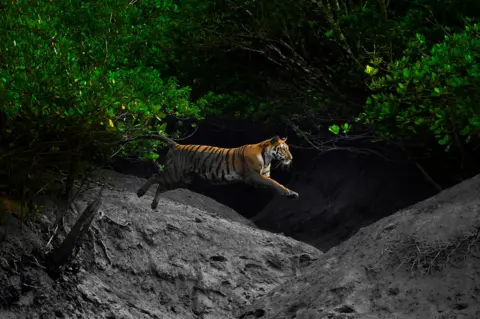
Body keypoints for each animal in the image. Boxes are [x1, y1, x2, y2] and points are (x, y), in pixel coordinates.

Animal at [122, 134, 298, 210]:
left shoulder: (261, 177)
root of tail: (177, 145)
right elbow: (275, 183)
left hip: (182, 179)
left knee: (161, 185)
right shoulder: (254, 176)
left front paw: (290, 193)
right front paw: (289, 192)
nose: (291, 157)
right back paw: (140, 192)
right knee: (155, 176)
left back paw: (154, 204)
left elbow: (273, 183)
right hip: (175, 173)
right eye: (284, 149)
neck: (269, 157)